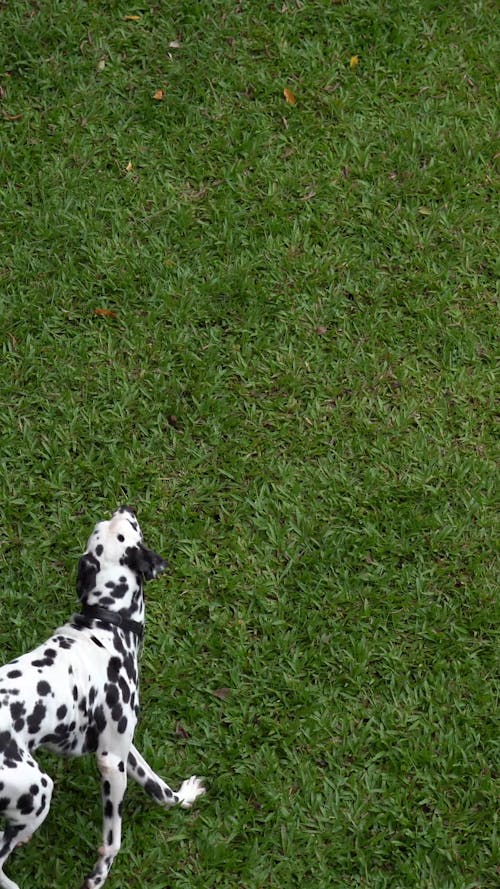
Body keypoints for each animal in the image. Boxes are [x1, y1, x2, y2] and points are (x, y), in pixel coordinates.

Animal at [0, 502, 205, 884]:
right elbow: (113, 840)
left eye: (109, 522)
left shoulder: (123, 748)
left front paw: (184, 797)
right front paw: (99, 875)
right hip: (38, 792)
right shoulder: (110, 763)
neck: (106, 624)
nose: (128, 505)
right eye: (129, 528)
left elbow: (158, 788)